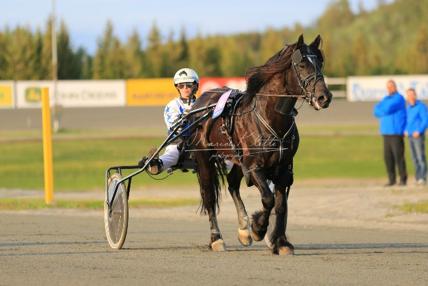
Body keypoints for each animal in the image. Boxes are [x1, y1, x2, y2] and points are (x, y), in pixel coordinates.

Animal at [186, 34, 332, 256]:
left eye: (320, 62)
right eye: (302, 64)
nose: (324, 97)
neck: (270, 116)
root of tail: (201, 100)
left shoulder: (284, 169)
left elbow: (281, 205)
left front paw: (280, 242)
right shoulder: (254, 167)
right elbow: (268, 199)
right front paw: (258, 228)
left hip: (238, 160)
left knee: (232, 185)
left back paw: (243, 230)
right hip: (204, 157)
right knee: (209, 196)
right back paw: (217, 239)